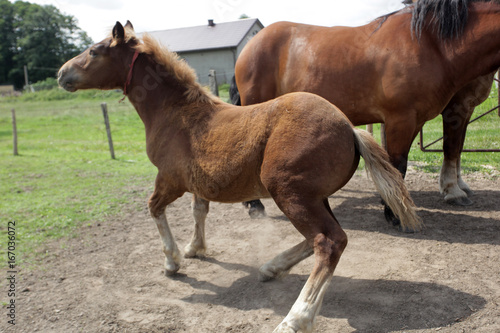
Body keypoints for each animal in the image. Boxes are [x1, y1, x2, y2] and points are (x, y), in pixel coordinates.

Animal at [56, 22, 420, 330]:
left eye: (95, 50)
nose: (61, 74)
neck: (176, 114)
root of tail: (348, 127)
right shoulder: (197, 182)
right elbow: (199, 210)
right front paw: (195, 248)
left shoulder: (170, 180)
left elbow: (154, 208)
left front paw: (173, 262)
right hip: (312, 196)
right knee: (323, 238)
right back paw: (271, 268)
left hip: (289, 192)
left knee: (329, 242)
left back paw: (296, 318)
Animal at [234, 0, 500, 222]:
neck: (429, 43)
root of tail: (251, 44)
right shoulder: (402, 119)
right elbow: (400, 164)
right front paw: (395, 213)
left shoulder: (414, 121)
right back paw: (255, 205)